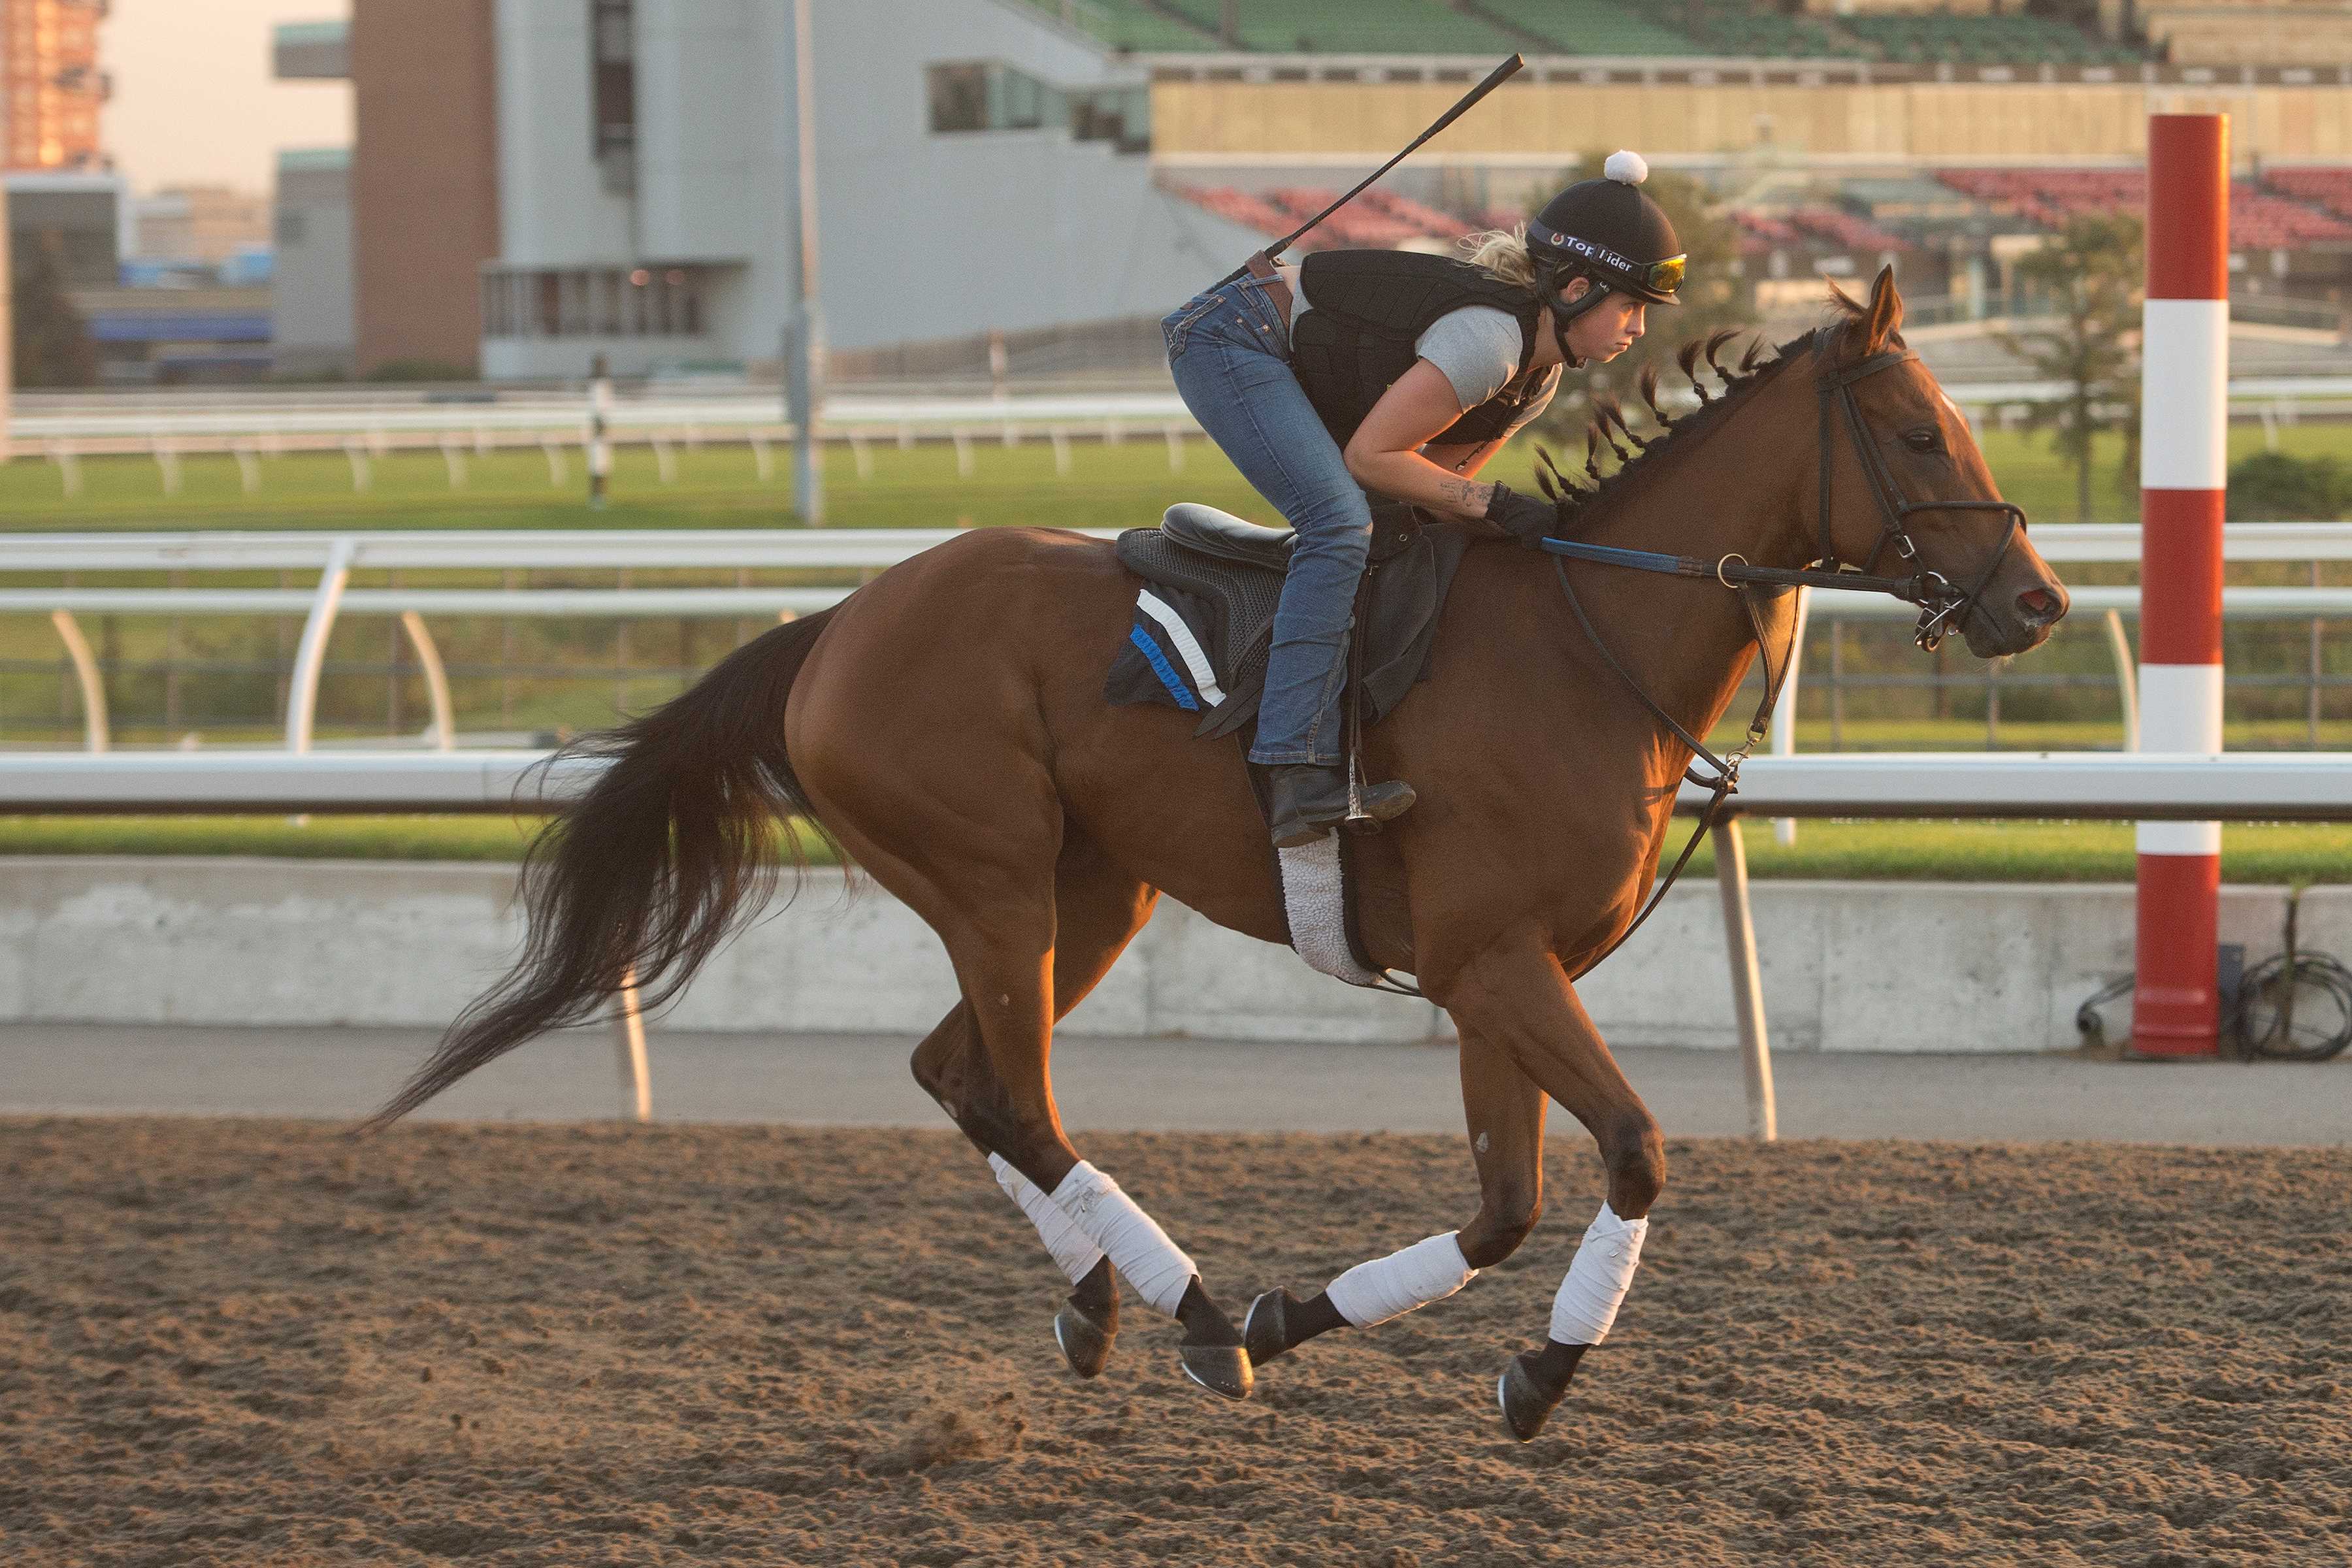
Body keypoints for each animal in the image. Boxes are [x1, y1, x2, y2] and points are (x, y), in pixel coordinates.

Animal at [362, 267, 2060, 1439]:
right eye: (1919, 431)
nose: (2035, 603)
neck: (1589, 642)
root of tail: (836, 622)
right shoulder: (1496, 962)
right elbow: (1634, 1151)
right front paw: (1530, 1374)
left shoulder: (1495, 979)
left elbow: (1502, 1205)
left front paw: (1306, 1314)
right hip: (992, 881)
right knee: (1014, 1095)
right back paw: (1178, 1308)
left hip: (1093, 889)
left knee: (958, 1075)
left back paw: (1104, 1303)